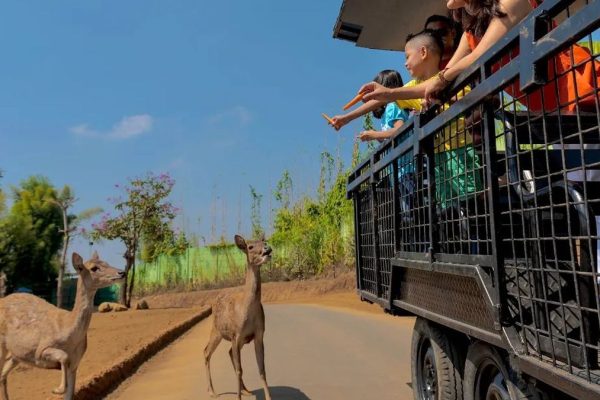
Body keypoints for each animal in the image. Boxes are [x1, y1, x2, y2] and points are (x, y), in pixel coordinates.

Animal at [0, 253, 125, 400]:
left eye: (107, 262)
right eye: (94, 268)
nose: (122, 272)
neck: (69, 332)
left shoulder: (76, 362)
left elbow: (70, 393)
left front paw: (60, 389)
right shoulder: (41, 351)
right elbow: (63, 356)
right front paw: (57, 389)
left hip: (17, 354)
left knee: (3, 375)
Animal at [205, 234, 274, 400]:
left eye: (264, 241)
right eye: (250, 247)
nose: (267, 249)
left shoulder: (259, 334)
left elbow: (262, 369)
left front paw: (269, 397)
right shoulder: (235, 334)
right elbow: (239, 370)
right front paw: (237, 398)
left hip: (237, 339)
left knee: (229, 352)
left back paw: (246, 390)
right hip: (217, 330)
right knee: (206, 352)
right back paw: (212, 391)